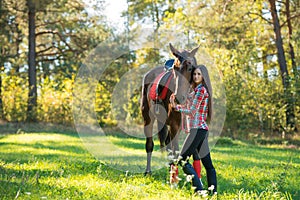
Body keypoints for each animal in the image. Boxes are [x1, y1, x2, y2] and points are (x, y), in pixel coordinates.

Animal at [141, 43, 199, 174]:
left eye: (190, 68)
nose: (178, 98)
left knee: (167, 144)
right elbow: (175, 149)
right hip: (148, 118)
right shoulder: (174, 124)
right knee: (149, 144)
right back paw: (148, 171)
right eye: (174, 69)